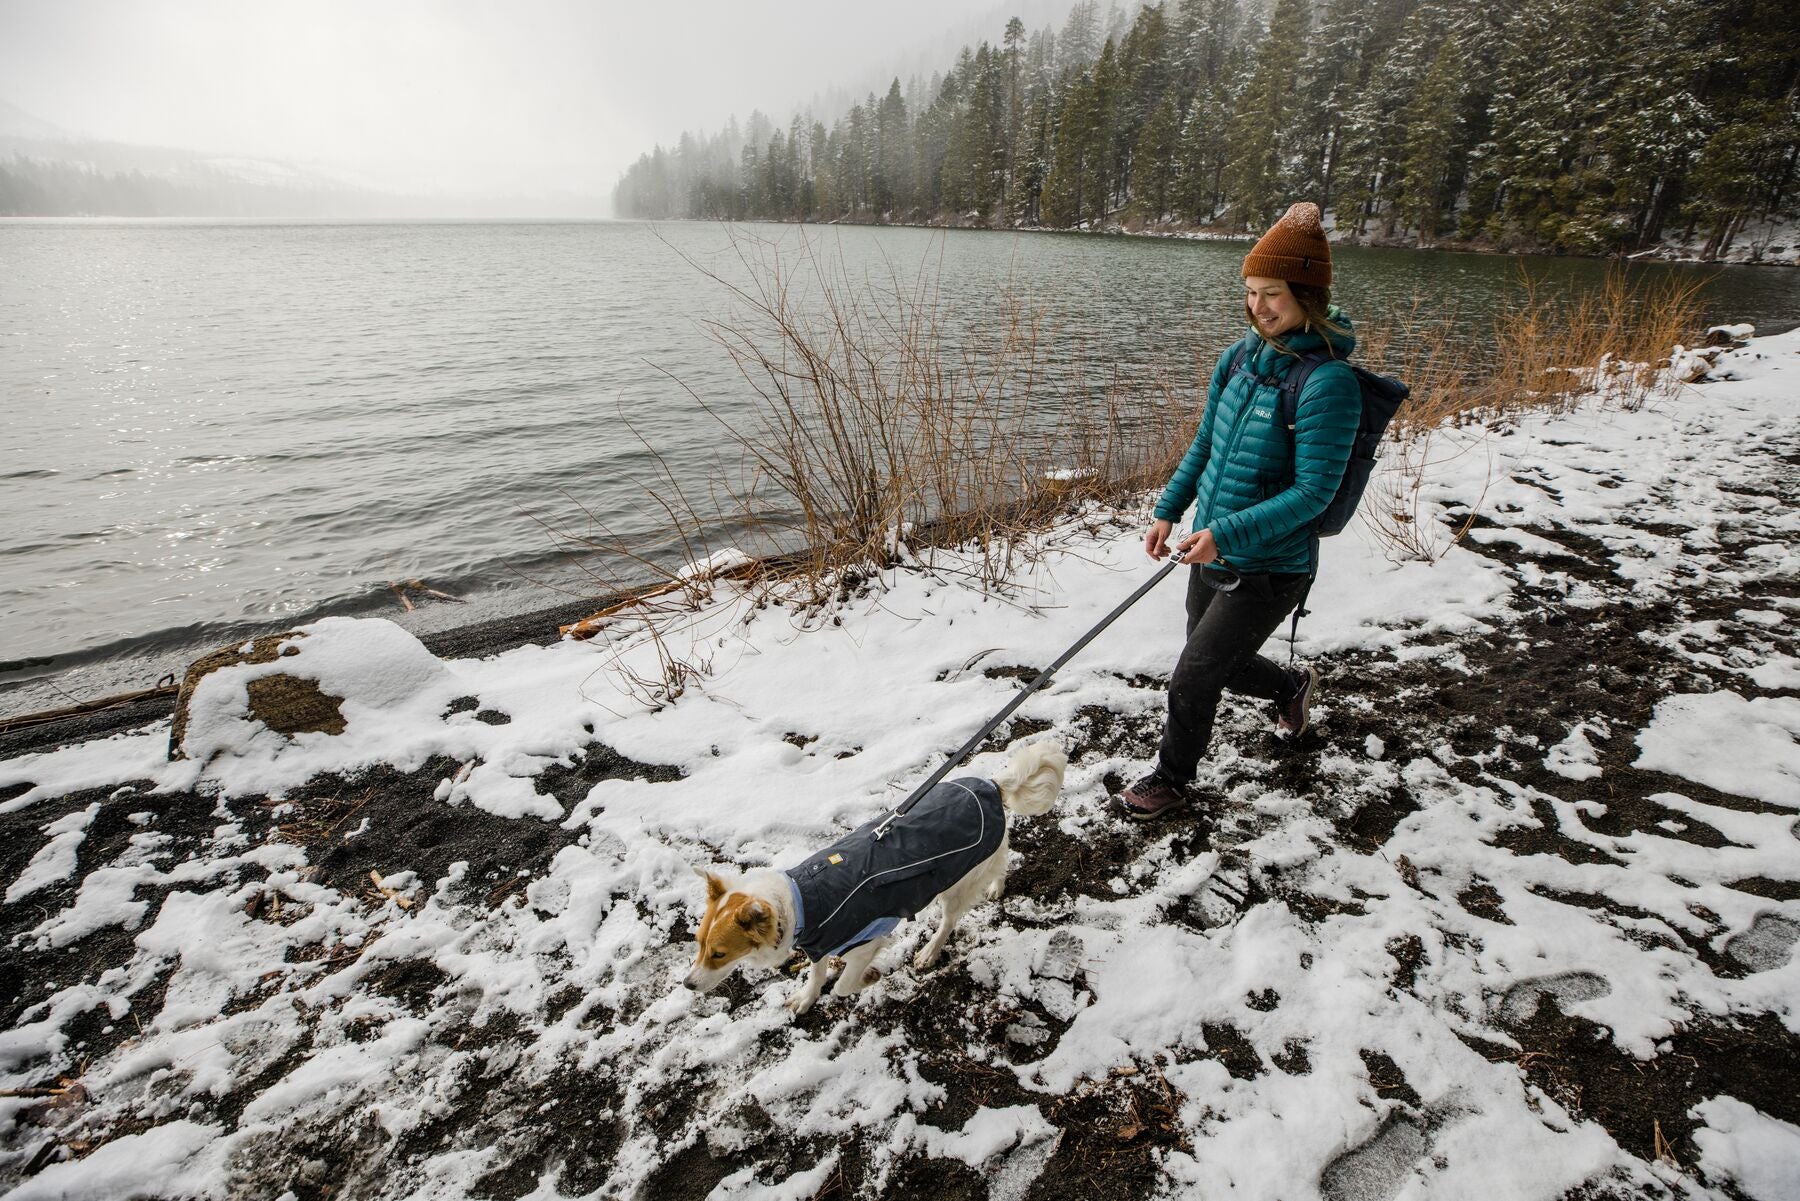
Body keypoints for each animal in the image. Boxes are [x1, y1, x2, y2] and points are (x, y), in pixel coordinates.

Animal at [684, 741, 1066, 1015]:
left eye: (718, 953)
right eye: (698, 944)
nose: (687, 985)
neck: (803, 901)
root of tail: (992, 784)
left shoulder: (868, 938)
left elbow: (843, 984)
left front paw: (868, 978)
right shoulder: (819, 943)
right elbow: (817, 972)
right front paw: (807, 997)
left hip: (956, 882)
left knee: (948, 920)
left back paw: (929, 951)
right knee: (1002, 861)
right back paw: (996, 887)